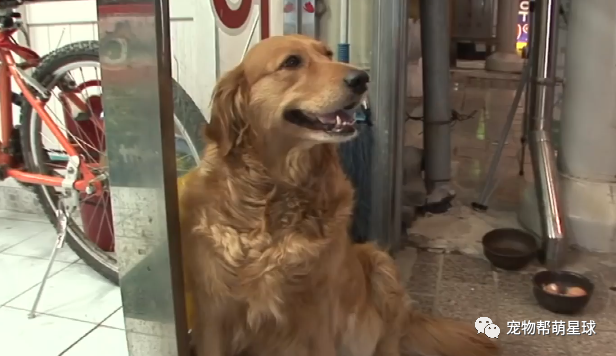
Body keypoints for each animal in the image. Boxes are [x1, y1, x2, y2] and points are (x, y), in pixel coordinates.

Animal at [179, 34, 500, 356]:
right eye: (292, 62)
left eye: (328, 53)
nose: (361, 79)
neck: (277, 196)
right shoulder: (213, 316)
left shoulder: (319, 317)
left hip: (380, 265)